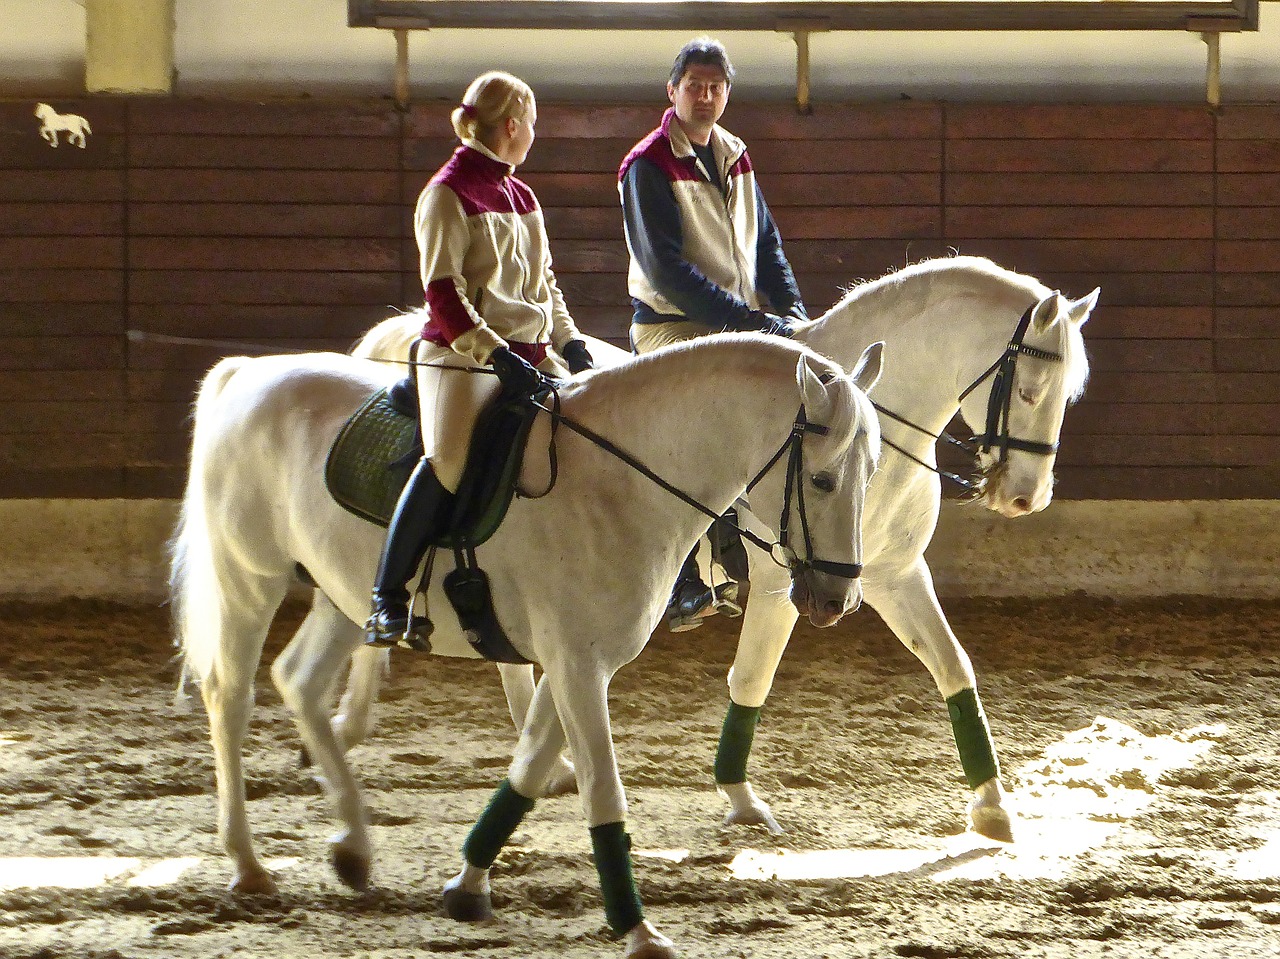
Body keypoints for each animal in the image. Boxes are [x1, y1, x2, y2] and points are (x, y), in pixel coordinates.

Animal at [175, 332, 885, 952]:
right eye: (822, 480)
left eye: (872, 473)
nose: (835, 600)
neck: (620, 479)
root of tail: (246, 373)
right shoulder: (575, 663)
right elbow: (601, 788)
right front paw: (638, 932)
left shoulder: (577, 660)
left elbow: (530, 766)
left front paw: (467, 886)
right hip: (249, 577)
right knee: (230, 697)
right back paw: (247, 864)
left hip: (341, 595)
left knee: (299, 679)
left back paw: (352, 846)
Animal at [325, 250, 1095, 839]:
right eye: (1030, 389)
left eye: (1067, 395)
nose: (1025, 495)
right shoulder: (788, 584)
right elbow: (751, 678)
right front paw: (740, 796)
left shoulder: (893, 574)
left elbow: (954, 667)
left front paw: (992, 807)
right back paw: (356, 710)